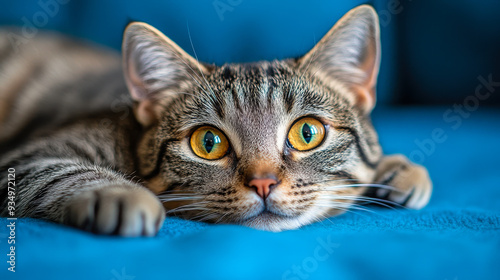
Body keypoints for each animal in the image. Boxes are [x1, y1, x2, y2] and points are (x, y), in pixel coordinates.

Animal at [0, 5, 430, 235]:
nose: (263, 183)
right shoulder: (21, 159)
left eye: (307, 133)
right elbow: (63, 172)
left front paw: (395, 169)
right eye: (208, 143)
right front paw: (123, 195)